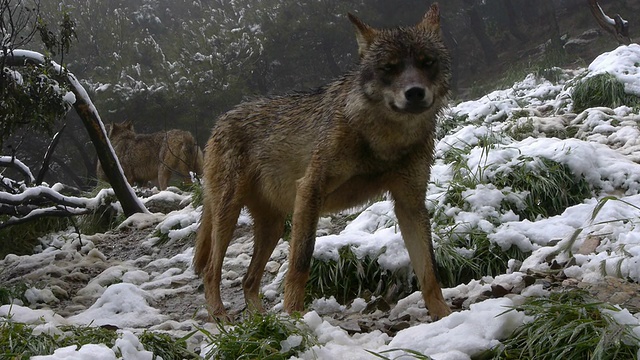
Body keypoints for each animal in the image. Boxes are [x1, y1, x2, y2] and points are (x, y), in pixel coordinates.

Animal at [194, 2, 450, 318]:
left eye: (427, 63)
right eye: (389, 68)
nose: (414, 93)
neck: (384, 140)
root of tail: (220, 121)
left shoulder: (410, 204)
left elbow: (429, 270)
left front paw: (445, 316)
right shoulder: (309, 190)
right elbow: (300, 263)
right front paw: (295, 318)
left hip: (273, 226)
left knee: (248, 280)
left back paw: (261, 321)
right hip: (229, 215)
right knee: (210, 270)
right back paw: (222, 318)